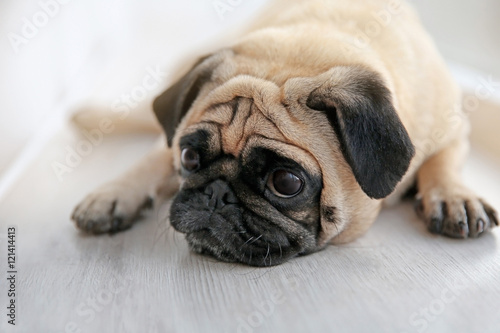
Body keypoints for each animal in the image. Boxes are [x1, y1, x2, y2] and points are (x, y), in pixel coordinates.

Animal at [71, 0, 496, 264]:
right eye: (190, 158)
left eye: (286, 183)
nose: (216, 194)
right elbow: (155, 156)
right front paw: (114, 195)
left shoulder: (452, 128)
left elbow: (443, 162)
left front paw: (453, 196)